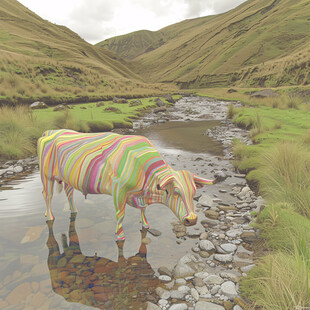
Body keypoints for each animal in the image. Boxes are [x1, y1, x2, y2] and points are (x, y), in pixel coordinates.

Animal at [38, 130, 217, 241]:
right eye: (174, 192)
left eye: (193, 192)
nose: (192, 219)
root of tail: (50, 131)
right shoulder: (118, 190)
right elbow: (120, 214)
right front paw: (120, 235)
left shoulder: (140, 196)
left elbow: (143, 209)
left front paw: (145, 224)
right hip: (46, 175)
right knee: (47, 195)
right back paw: (50, 216)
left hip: (67, 177)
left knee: (68, 192)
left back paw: (73, 210)